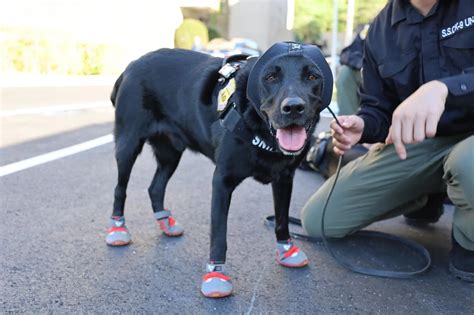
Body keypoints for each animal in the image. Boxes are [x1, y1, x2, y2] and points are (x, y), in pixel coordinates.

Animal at [106, 42, 334, 298]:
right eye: (271, 77)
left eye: (312, 76)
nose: (293, 107)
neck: (260, 133)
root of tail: (131, 65)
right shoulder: (222, 181)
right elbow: (218, 233)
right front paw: (216, 274)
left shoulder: (284, 178)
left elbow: (281, 219)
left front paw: (287, 250)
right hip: (128, 144)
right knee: (120, 189)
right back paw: (118, 229)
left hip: (171, 154)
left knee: (155, 187)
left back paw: (165, 222)